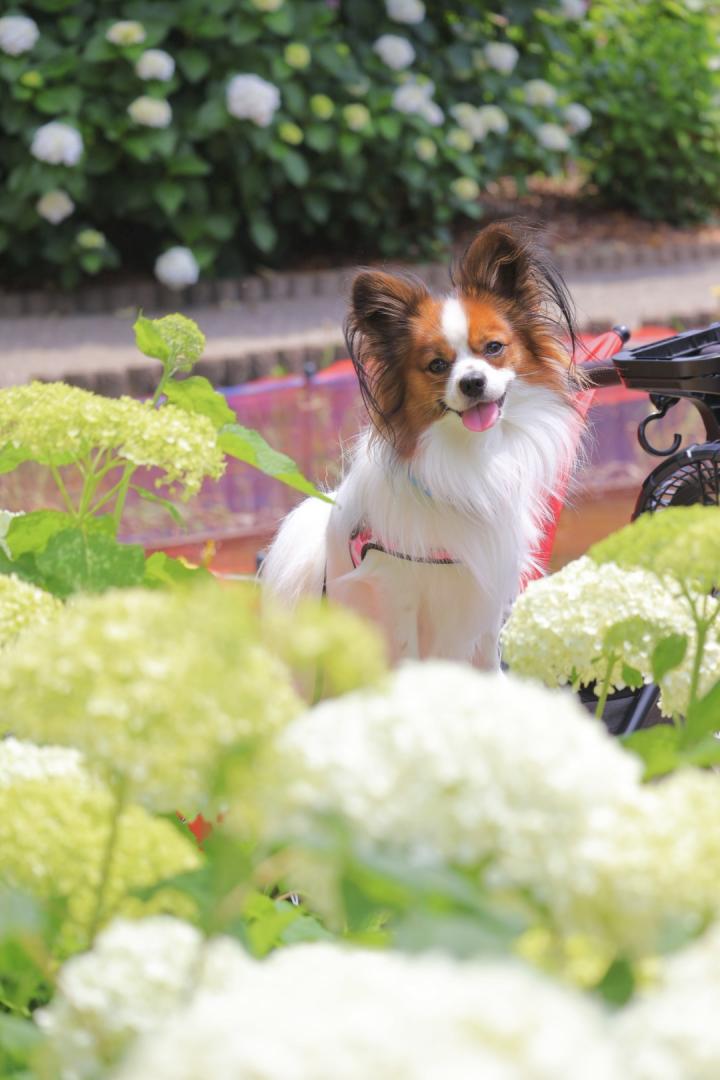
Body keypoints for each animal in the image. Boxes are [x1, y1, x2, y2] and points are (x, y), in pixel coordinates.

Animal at [262, 223, 582, 665]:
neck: (470, 454)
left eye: (494, 348)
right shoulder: (396, 591)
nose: (472, 383)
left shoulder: (487, 589)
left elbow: (488, 664)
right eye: (437, 365)